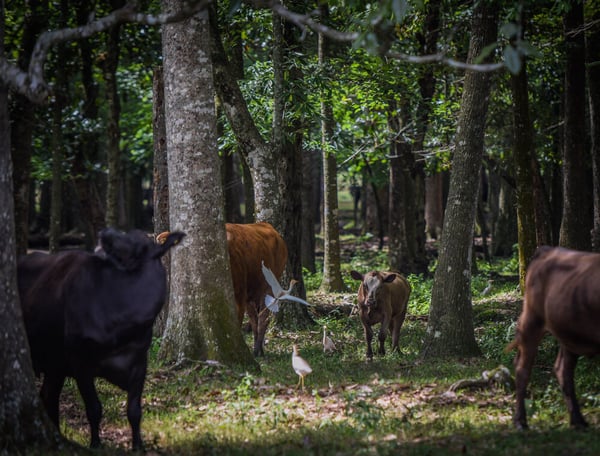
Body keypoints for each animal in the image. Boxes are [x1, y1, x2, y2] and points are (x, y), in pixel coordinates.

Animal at [18, 228, 184, 448]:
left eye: (138, 246)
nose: (106, 232)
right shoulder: (79, 363)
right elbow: (94, 409)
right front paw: (95, 444)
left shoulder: (140, 363)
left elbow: (134, 411)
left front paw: (138, 446)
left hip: (55, 365)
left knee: (48, 396)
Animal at [227, 221, 288, 356]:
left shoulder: (239, 296)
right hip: (252, 293)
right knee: (255, 319)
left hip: (269, 287)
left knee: (262, 318)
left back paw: (258, 351)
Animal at [508, 246, 600, 428]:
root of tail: (546, 250)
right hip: (531, 322)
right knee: (522, 368)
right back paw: (520, 422)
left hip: (568, 335)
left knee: (563, 370)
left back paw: (578, 421)